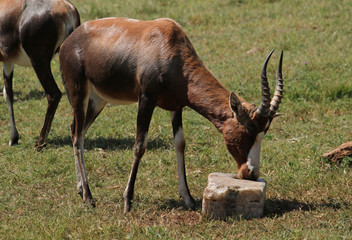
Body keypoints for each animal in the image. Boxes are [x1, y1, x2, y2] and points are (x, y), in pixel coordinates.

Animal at [0, 0, 80, 149]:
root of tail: (66, 7)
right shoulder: (8, 61)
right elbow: (8, 94)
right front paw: (13, 138)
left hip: (39, 62)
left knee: (54, 94)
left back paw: (39, 142)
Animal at [58, 17, 284, 212]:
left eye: (264, 132)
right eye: (249, 130)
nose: (251, 173)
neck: (167, 44)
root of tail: (70, 40)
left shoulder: (177, 107)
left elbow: (180, 144)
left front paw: (189, 199)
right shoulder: (146, 100)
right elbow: (140, 146)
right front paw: (127, 202)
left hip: (98, 100)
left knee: (76, 130)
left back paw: (81, 190)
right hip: (79, 93)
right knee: (77, 135)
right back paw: (89, 198)